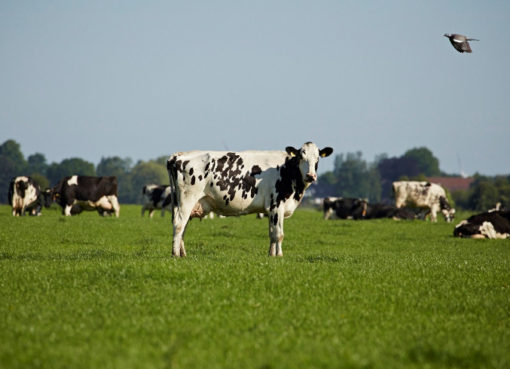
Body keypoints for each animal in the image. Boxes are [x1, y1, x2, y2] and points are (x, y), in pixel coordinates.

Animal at [167, 141, 332, 256]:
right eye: (301, 156)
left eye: (317, 158)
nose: (311, 176)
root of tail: (179, 155)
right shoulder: (277, 205)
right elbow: (279, 234)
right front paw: (280, 255)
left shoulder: (271, 210)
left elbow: (272, 233)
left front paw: (271, 255)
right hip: (187, 199)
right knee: (179, 224)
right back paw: (175, 254)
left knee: (183, 227)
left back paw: (182, 253)